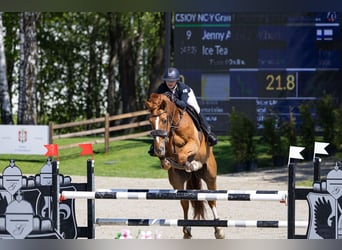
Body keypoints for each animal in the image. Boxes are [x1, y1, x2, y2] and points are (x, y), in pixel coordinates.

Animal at [146, 93, 226, 239]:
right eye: (150, 122)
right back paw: (186, 230)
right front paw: (167, 161)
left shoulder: (193, 143)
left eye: (164, 120)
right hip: (177, 180)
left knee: (212, 200)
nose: (158, 150)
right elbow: (169, 160)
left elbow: (182, 155)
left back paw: (219, 230)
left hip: (210, 175)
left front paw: (193, 164)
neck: (174, 125)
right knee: (184, 203)